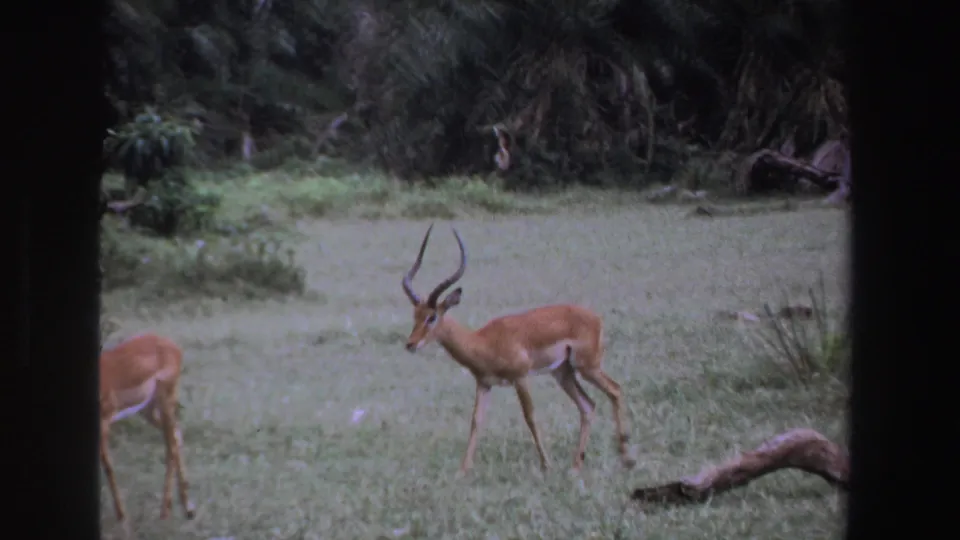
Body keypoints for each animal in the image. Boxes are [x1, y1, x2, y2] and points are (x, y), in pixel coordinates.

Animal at [99, 333, 195, 526]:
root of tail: (173, 346)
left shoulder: (104, 421)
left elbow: (108, 466)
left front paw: (122, 515)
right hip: (148, 409)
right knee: (176, 435)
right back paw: (186, 509)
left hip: (165, 400)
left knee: (171, 445)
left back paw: (167, 511)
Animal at [402, 224, 636, 474]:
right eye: (415, 315)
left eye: (432, 317)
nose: (410, 344)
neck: (483, 341)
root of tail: (596, 318)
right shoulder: (484, 384)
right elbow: (476, 421)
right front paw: (463, 471)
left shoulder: (521, 377)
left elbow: (529, 416)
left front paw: (546, 465)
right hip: (563, 373)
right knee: (588, 406)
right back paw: (576, 465)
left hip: (587, 367)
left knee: (615, 390)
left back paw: (626, 459)